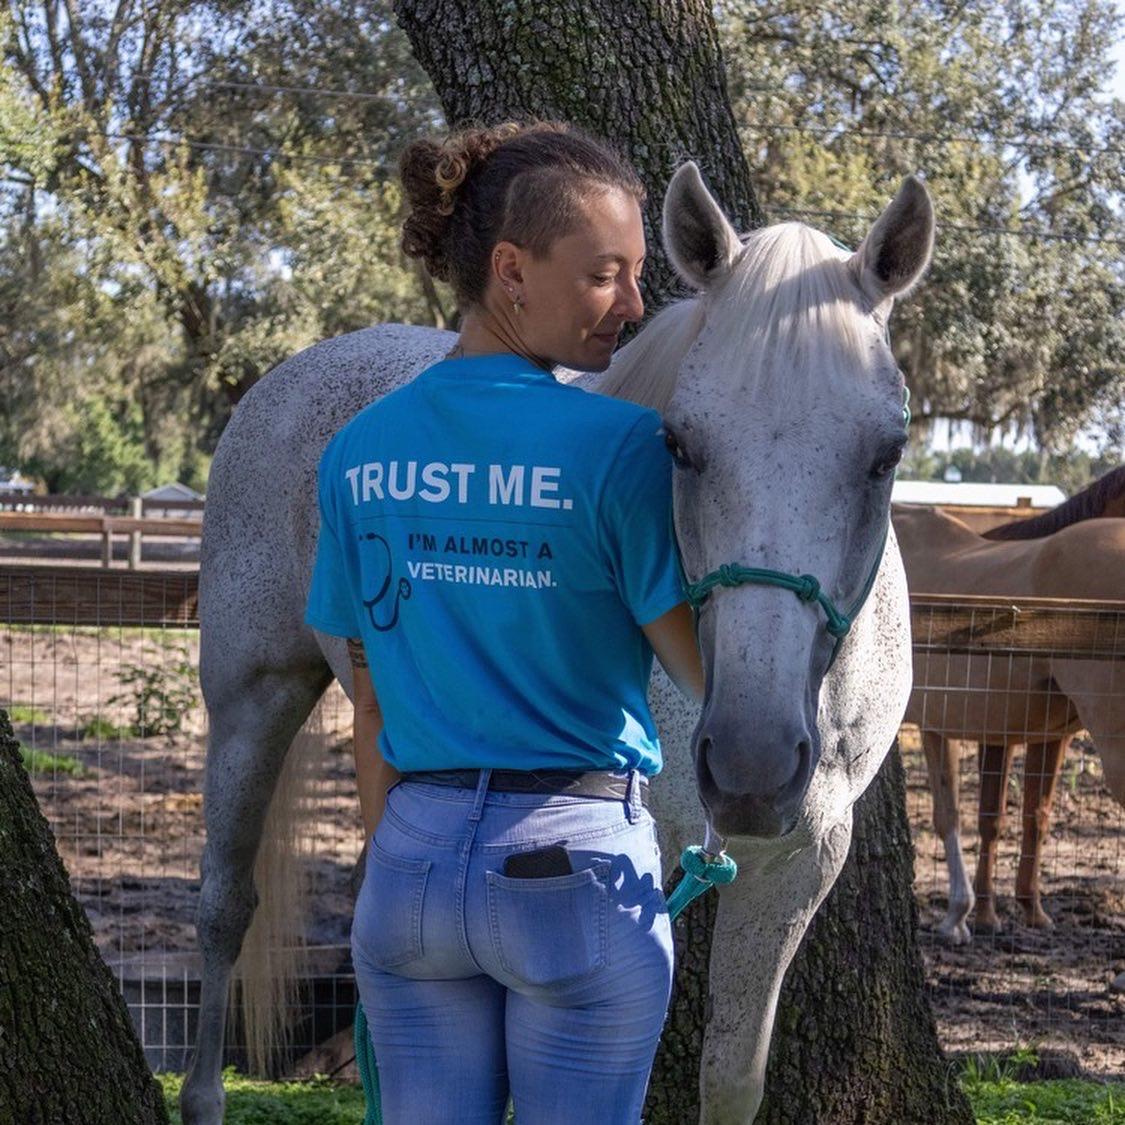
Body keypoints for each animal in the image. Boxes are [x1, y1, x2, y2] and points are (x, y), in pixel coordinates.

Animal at [180, 160, 936, 1125]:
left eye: (886, 454)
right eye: (679, 445)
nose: (752, 760)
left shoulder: (797, 859)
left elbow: (732, 1073)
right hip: (252, 695)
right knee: (223, 905)